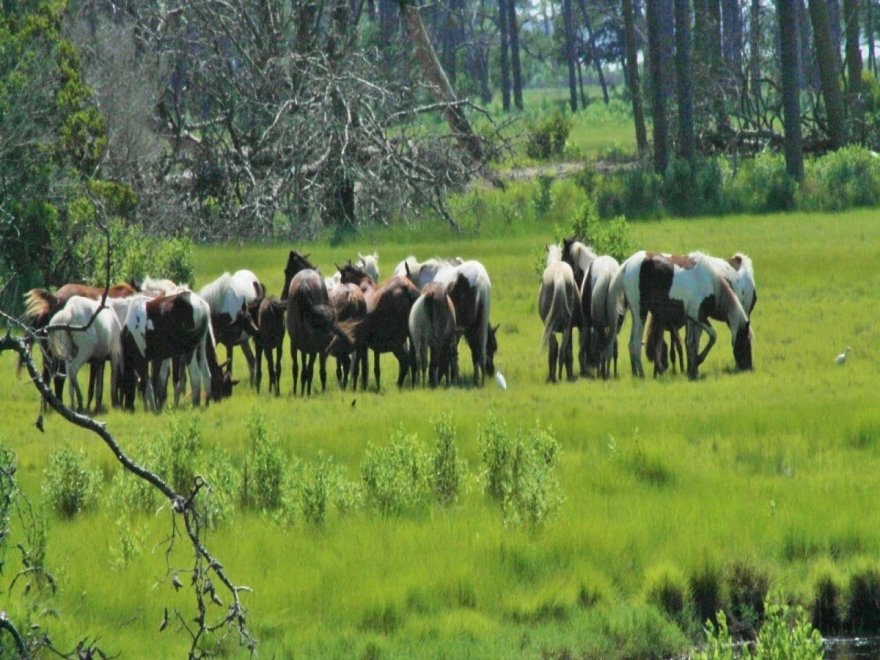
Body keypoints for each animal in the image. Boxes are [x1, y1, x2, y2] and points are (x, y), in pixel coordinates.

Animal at [336, 264, 420, 392]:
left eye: (342, 280)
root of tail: (408, 290)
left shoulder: (362, 344)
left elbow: (362, 368)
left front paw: (360, 387)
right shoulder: (369, 345)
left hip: (396, 341)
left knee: (405, 360)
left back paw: (398, 385)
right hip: (410, 337)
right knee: (413, 362)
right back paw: (412, 386)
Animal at [608, 251, 752, 378]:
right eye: (745, 342)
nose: (749, 368)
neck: (711, 283)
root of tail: (628, 263)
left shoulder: (693, 320)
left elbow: (692, 343)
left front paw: (693, 369)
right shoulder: (698, 315)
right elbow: (712, 336)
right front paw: (698, 360)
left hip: (637, 315)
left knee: (631, 344)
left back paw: (636, 374)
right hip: (640, 313)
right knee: (635, 344)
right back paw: (642, 375)